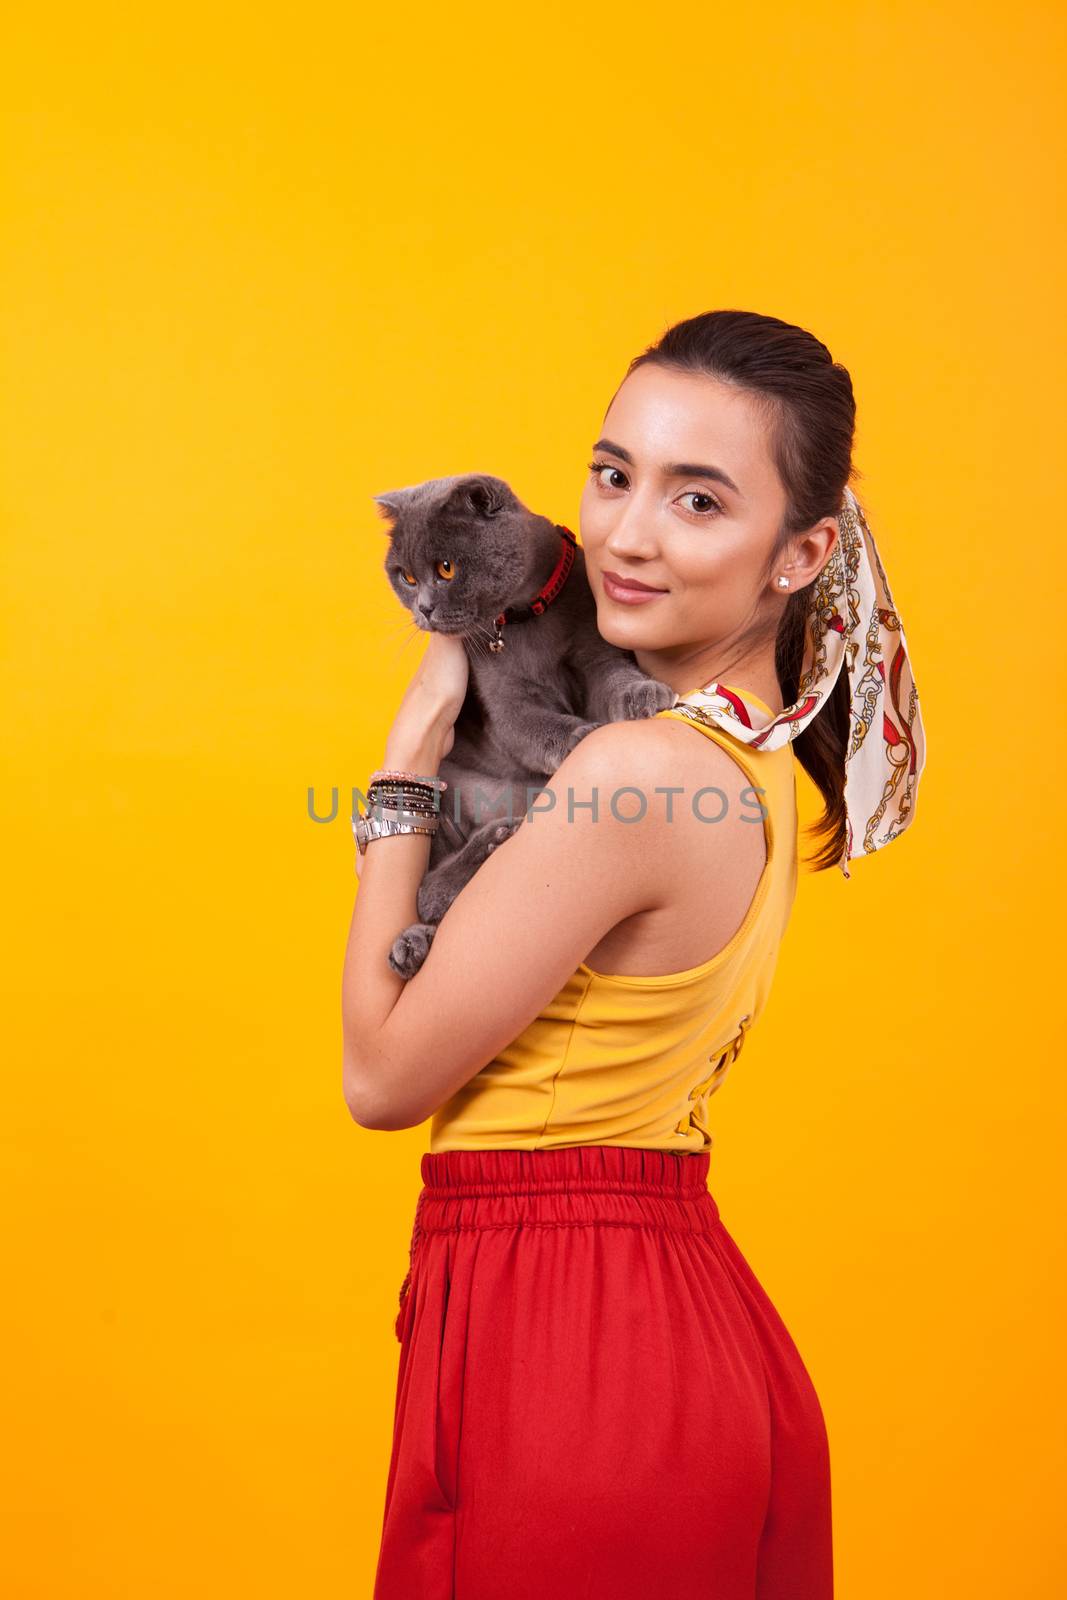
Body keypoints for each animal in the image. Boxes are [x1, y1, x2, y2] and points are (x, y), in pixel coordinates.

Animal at [371, 467, 671, 979]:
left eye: (446, 569)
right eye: (406, 577)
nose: (424, 608)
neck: (525, 618)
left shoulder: (596, 651)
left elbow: (613, 679)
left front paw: (642, 694)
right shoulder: (503, 697)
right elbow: (534, 725)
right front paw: (581, 737)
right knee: (427, 891)